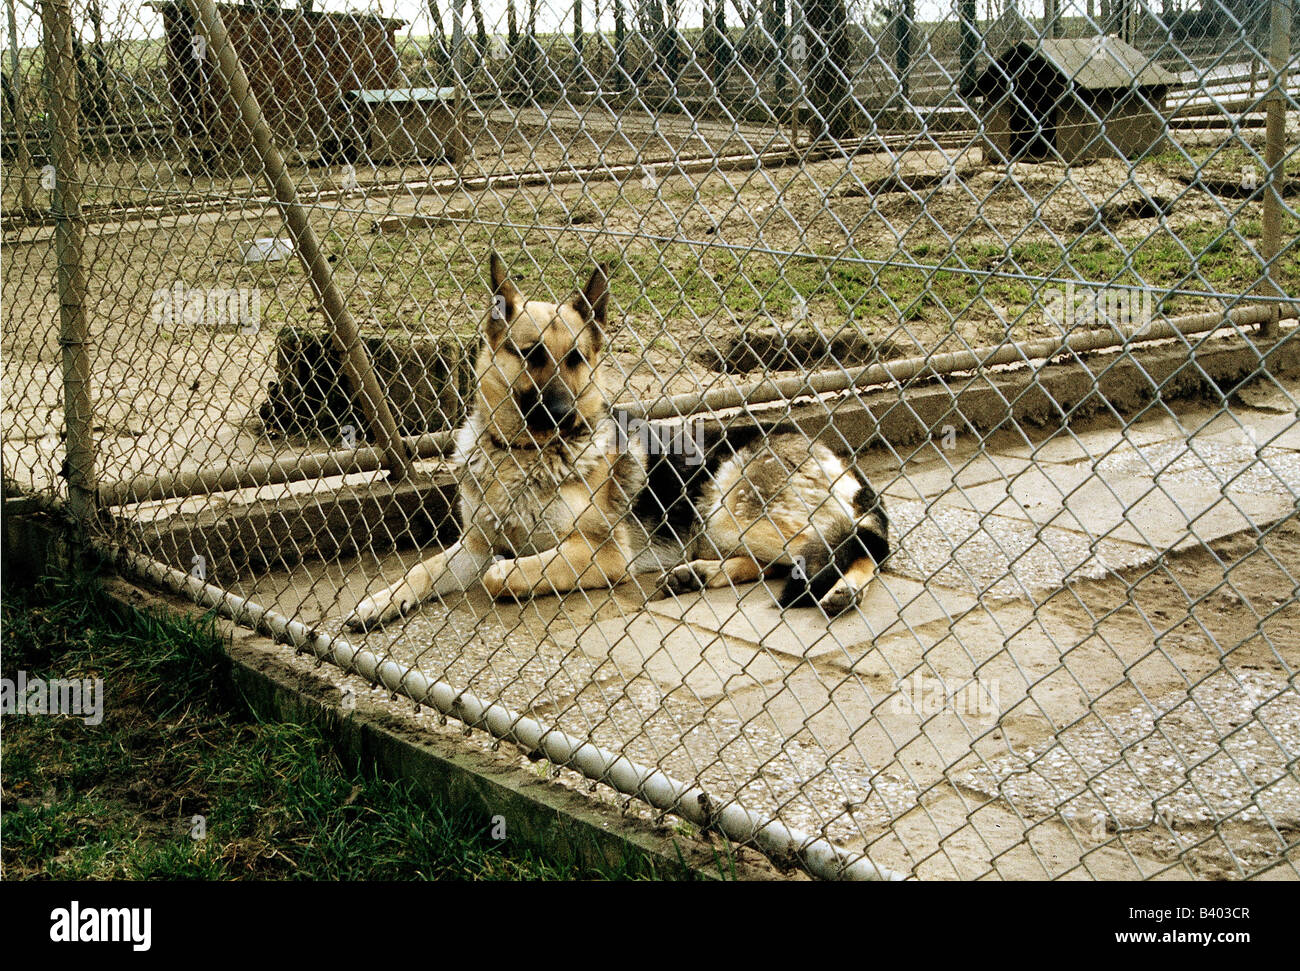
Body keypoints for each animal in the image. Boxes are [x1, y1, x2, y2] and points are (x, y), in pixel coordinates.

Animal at [345, 254, 889, 631]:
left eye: (576, 359)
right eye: (532, 354)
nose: (565, 418)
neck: (523, 456)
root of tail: (833, 456)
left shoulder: (601, 553)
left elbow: (498, 575)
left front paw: (506, 573)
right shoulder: (475, 544)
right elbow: (421, 570)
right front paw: (378, 602)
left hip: (731, 509)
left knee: (859, 546)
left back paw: (845, 591)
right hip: (723, 525)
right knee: (783, 561)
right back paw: (696, 574)